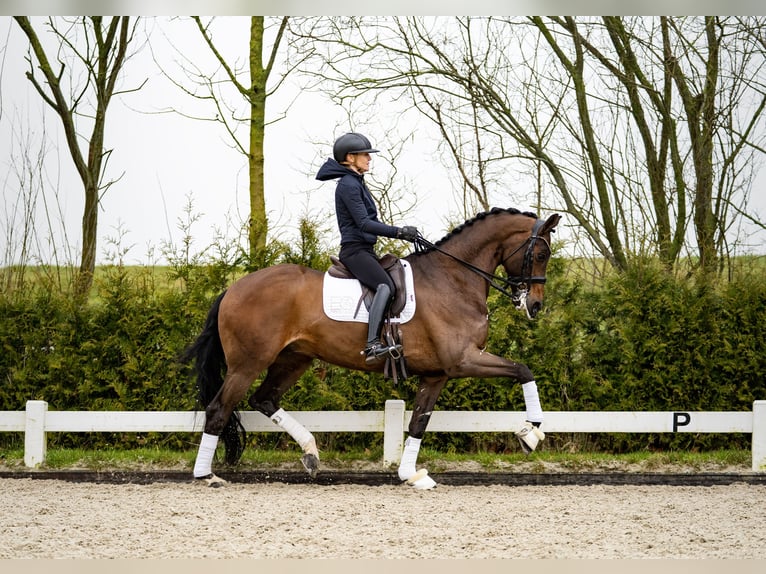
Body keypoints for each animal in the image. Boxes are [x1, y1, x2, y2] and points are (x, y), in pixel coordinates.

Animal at [186, 207, 564, 490]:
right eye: (541, 253)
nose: (535, 305)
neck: (453, 279)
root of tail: (233, 288)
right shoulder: (463, 360)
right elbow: (523, 370)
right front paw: (531, 433)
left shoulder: (437, 373)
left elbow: (419, 422)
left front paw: (411, 474)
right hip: (248, 363)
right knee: (219, 409)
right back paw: (207, 475)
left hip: (295, 359)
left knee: (264, 400)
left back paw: (311, 452)